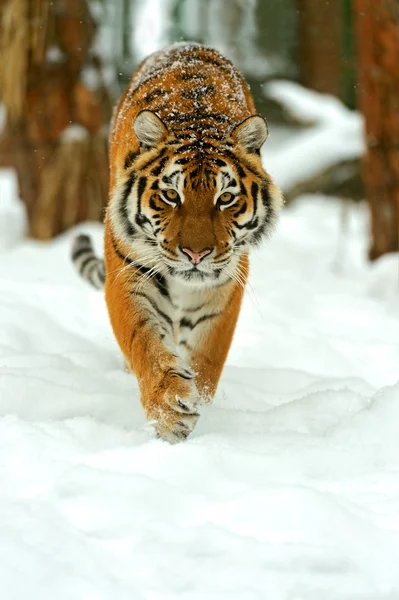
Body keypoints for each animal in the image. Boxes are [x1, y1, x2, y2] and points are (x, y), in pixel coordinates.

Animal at [72, 42, 284, 442]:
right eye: (171, 195)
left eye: (225, 198)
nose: (195, 254)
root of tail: (185, 44)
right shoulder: (129, 272)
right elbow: (145, 342)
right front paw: (169, 410)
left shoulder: (225, 286)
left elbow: (206, 358)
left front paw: (198, 401)